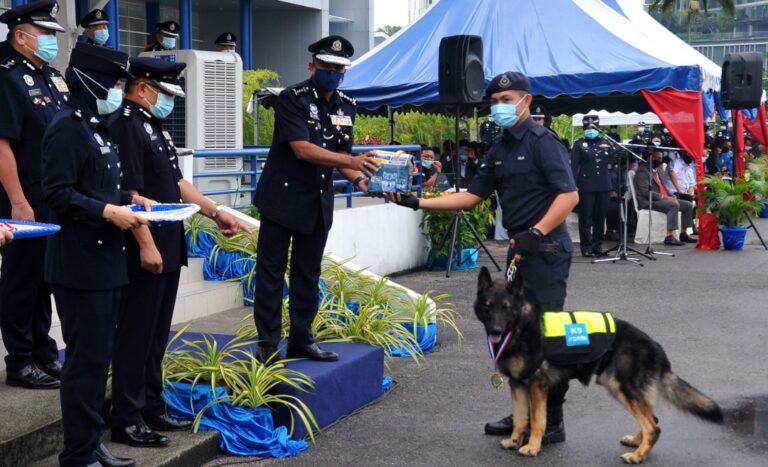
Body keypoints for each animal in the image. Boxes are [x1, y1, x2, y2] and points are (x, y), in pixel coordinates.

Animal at [476, 266, 724, 464]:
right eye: (489, 306)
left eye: (506, 307)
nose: (496, 330)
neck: (519, 327)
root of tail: (655, 346)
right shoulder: (517, 384)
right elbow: (519, 419)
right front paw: (514, 441)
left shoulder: (536, 385)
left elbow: (537, 421)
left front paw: (532, 447)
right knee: (652, 420)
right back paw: (637, 443)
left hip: (621, 387)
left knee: (653, 426)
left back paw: (638, 456)